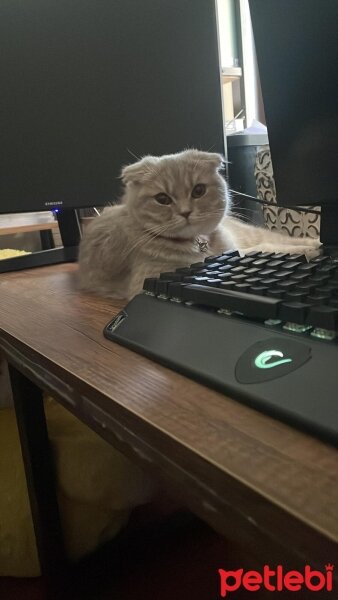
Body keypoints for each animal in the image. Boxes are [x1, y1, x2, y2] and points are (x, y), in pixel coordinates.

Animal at [78, 149, 320, 298]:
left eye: (198, 191)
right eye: (162, 199)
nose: (185, 212)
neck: (201, 244)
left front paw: (309, 249)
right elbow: (259, 252)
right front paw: (306, 252)